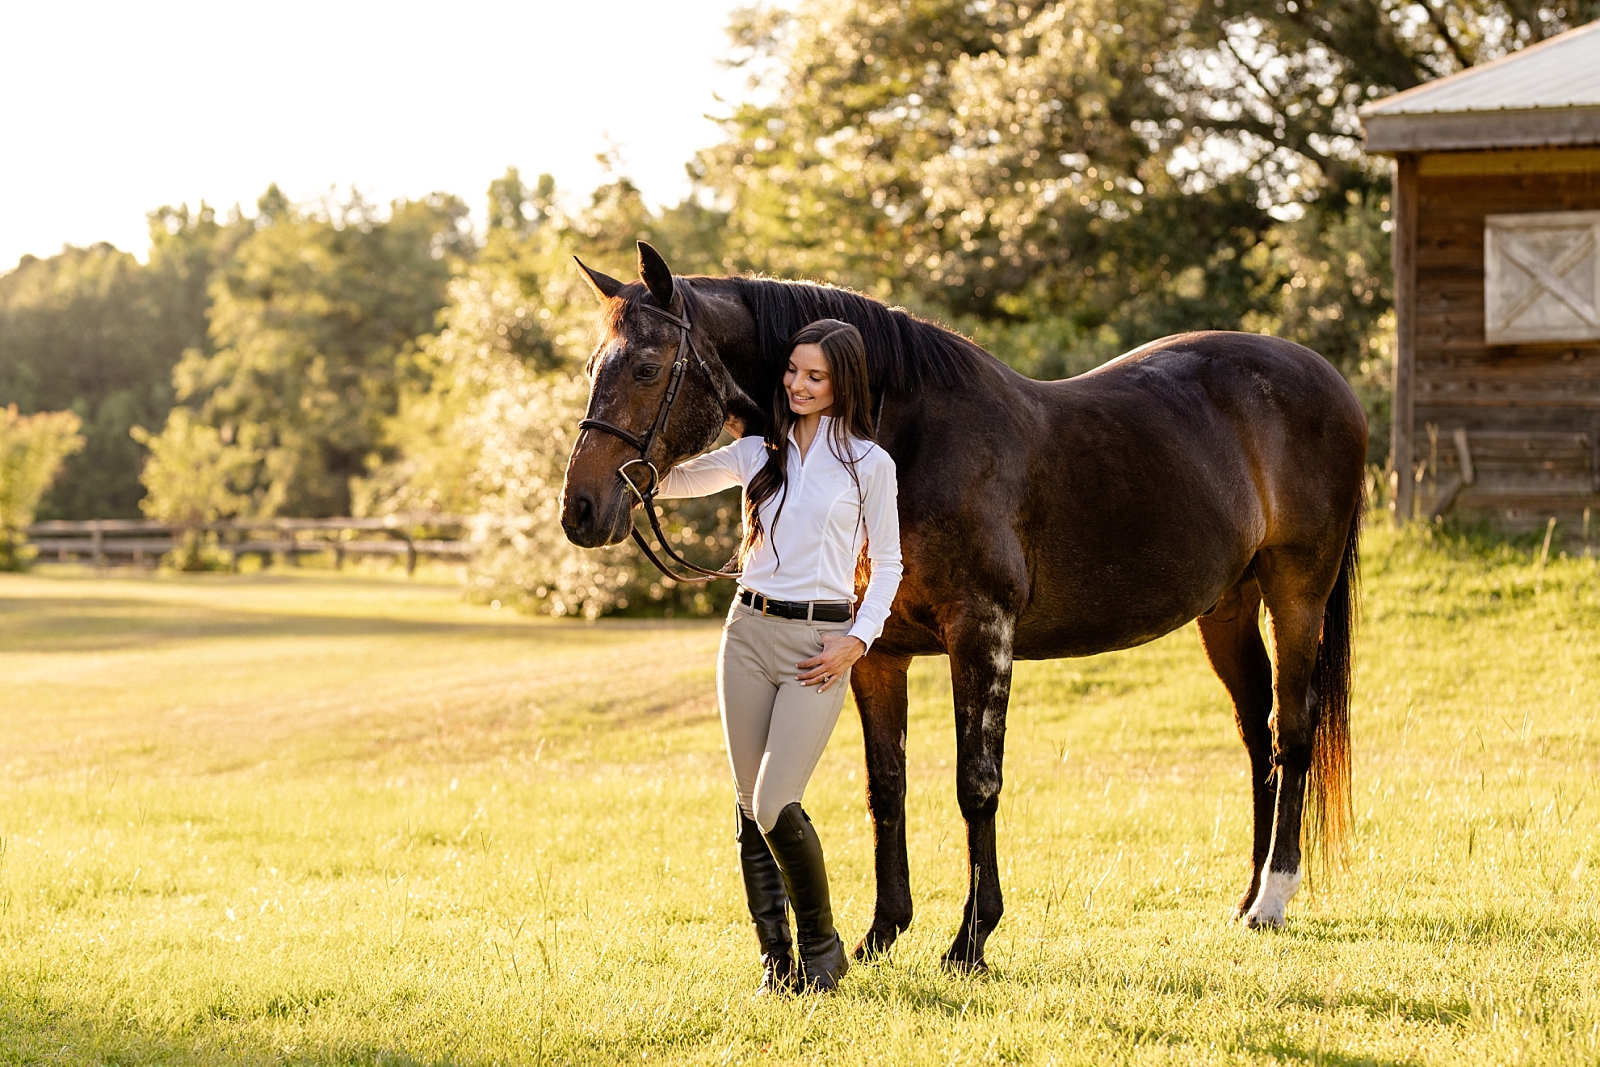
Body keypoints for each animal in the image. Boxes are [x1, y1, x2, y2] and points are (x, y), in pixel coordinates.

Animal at [563, 244, 1363, 979]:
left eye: (645, 369)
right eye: (593, 368)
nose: (581, 510)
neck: (905, 440)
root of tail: (1327, 379)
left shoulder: (981, 634)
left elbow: (976, 784)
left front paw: (970, 941)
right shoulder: (873, 653)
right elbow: (886, 787)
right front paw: (880, 934)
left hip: (1297, 593)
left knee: (1294, 731)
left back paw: (1272, 898)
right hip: (1227, 607)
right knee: (1257, 734)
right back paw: (1246, 896)